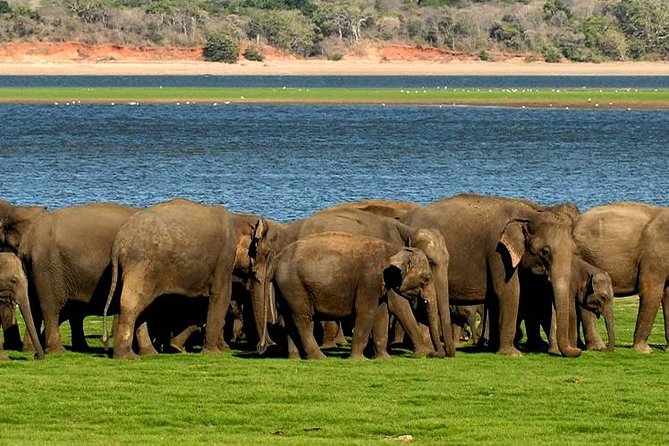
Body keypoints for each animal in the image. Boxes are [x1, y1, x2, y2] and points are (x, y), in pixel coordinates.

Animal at [102, 199, 269, 359]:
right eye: (267, 254)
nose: (261, 348)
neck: (237, 218)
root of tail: (118, 242)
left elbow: (198, 303)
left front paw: (176, 347)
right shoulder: (224, 257)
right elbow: (221, 295)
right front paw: (214, 353)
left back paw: (146, 353)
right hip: (142, 267)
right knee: (132, 303)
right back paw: (127, 357)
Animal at [270, 232, 433, 360]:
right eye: (426, 279)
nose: (426, 355)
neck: (394, 249)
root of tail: (277, 259)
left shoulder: (380, 285)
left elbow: (381, 314)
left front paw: (384, 359)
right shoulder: (369, 280)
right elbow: (366, 312)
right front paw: (357, 360)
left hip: (285, 289)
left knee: (290, 319)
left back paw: (295, 358)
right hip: (294, 286)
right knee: (302, 318)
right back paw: (320, 358)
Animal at [400, 193, 582, 357]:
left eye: (574, 250)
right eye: (545, 251)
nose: (578, 351)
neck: (530, 213)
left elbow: (498, 297)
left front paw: (493, 348)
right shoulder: (498, 253)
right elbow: (508, 291)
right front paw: (512, 354)